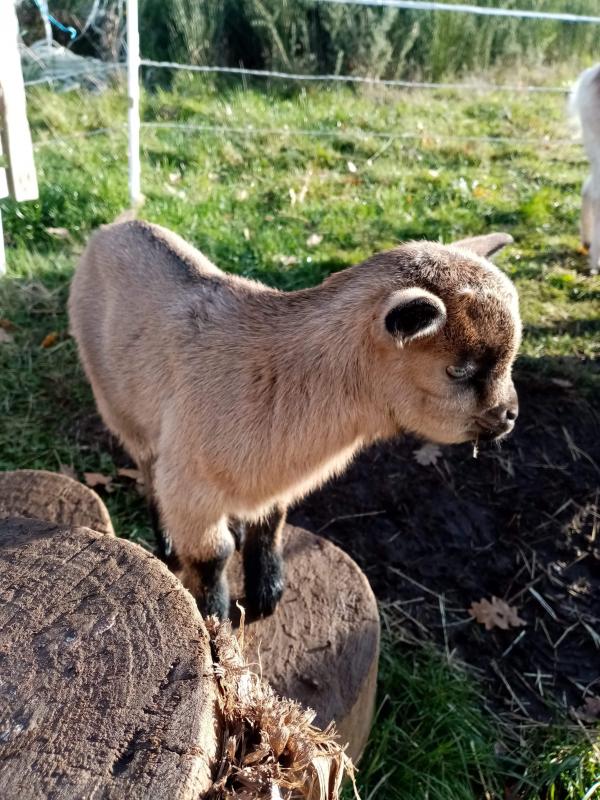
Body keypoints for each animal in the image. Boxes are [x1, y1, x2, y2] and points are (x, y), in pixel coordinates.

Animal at [69, 222, 521, 619]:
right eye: (458, 371)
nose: (510, 415)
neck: (283, 376)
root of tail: (115, 226)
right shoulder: (189, 485)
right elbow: (212, 556)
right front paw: (214, 615)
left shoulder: (273, 475)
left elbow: (270, 524)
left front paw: (267, 592)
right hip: (122, 410)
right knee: (146, 467)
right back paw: (164, 541)